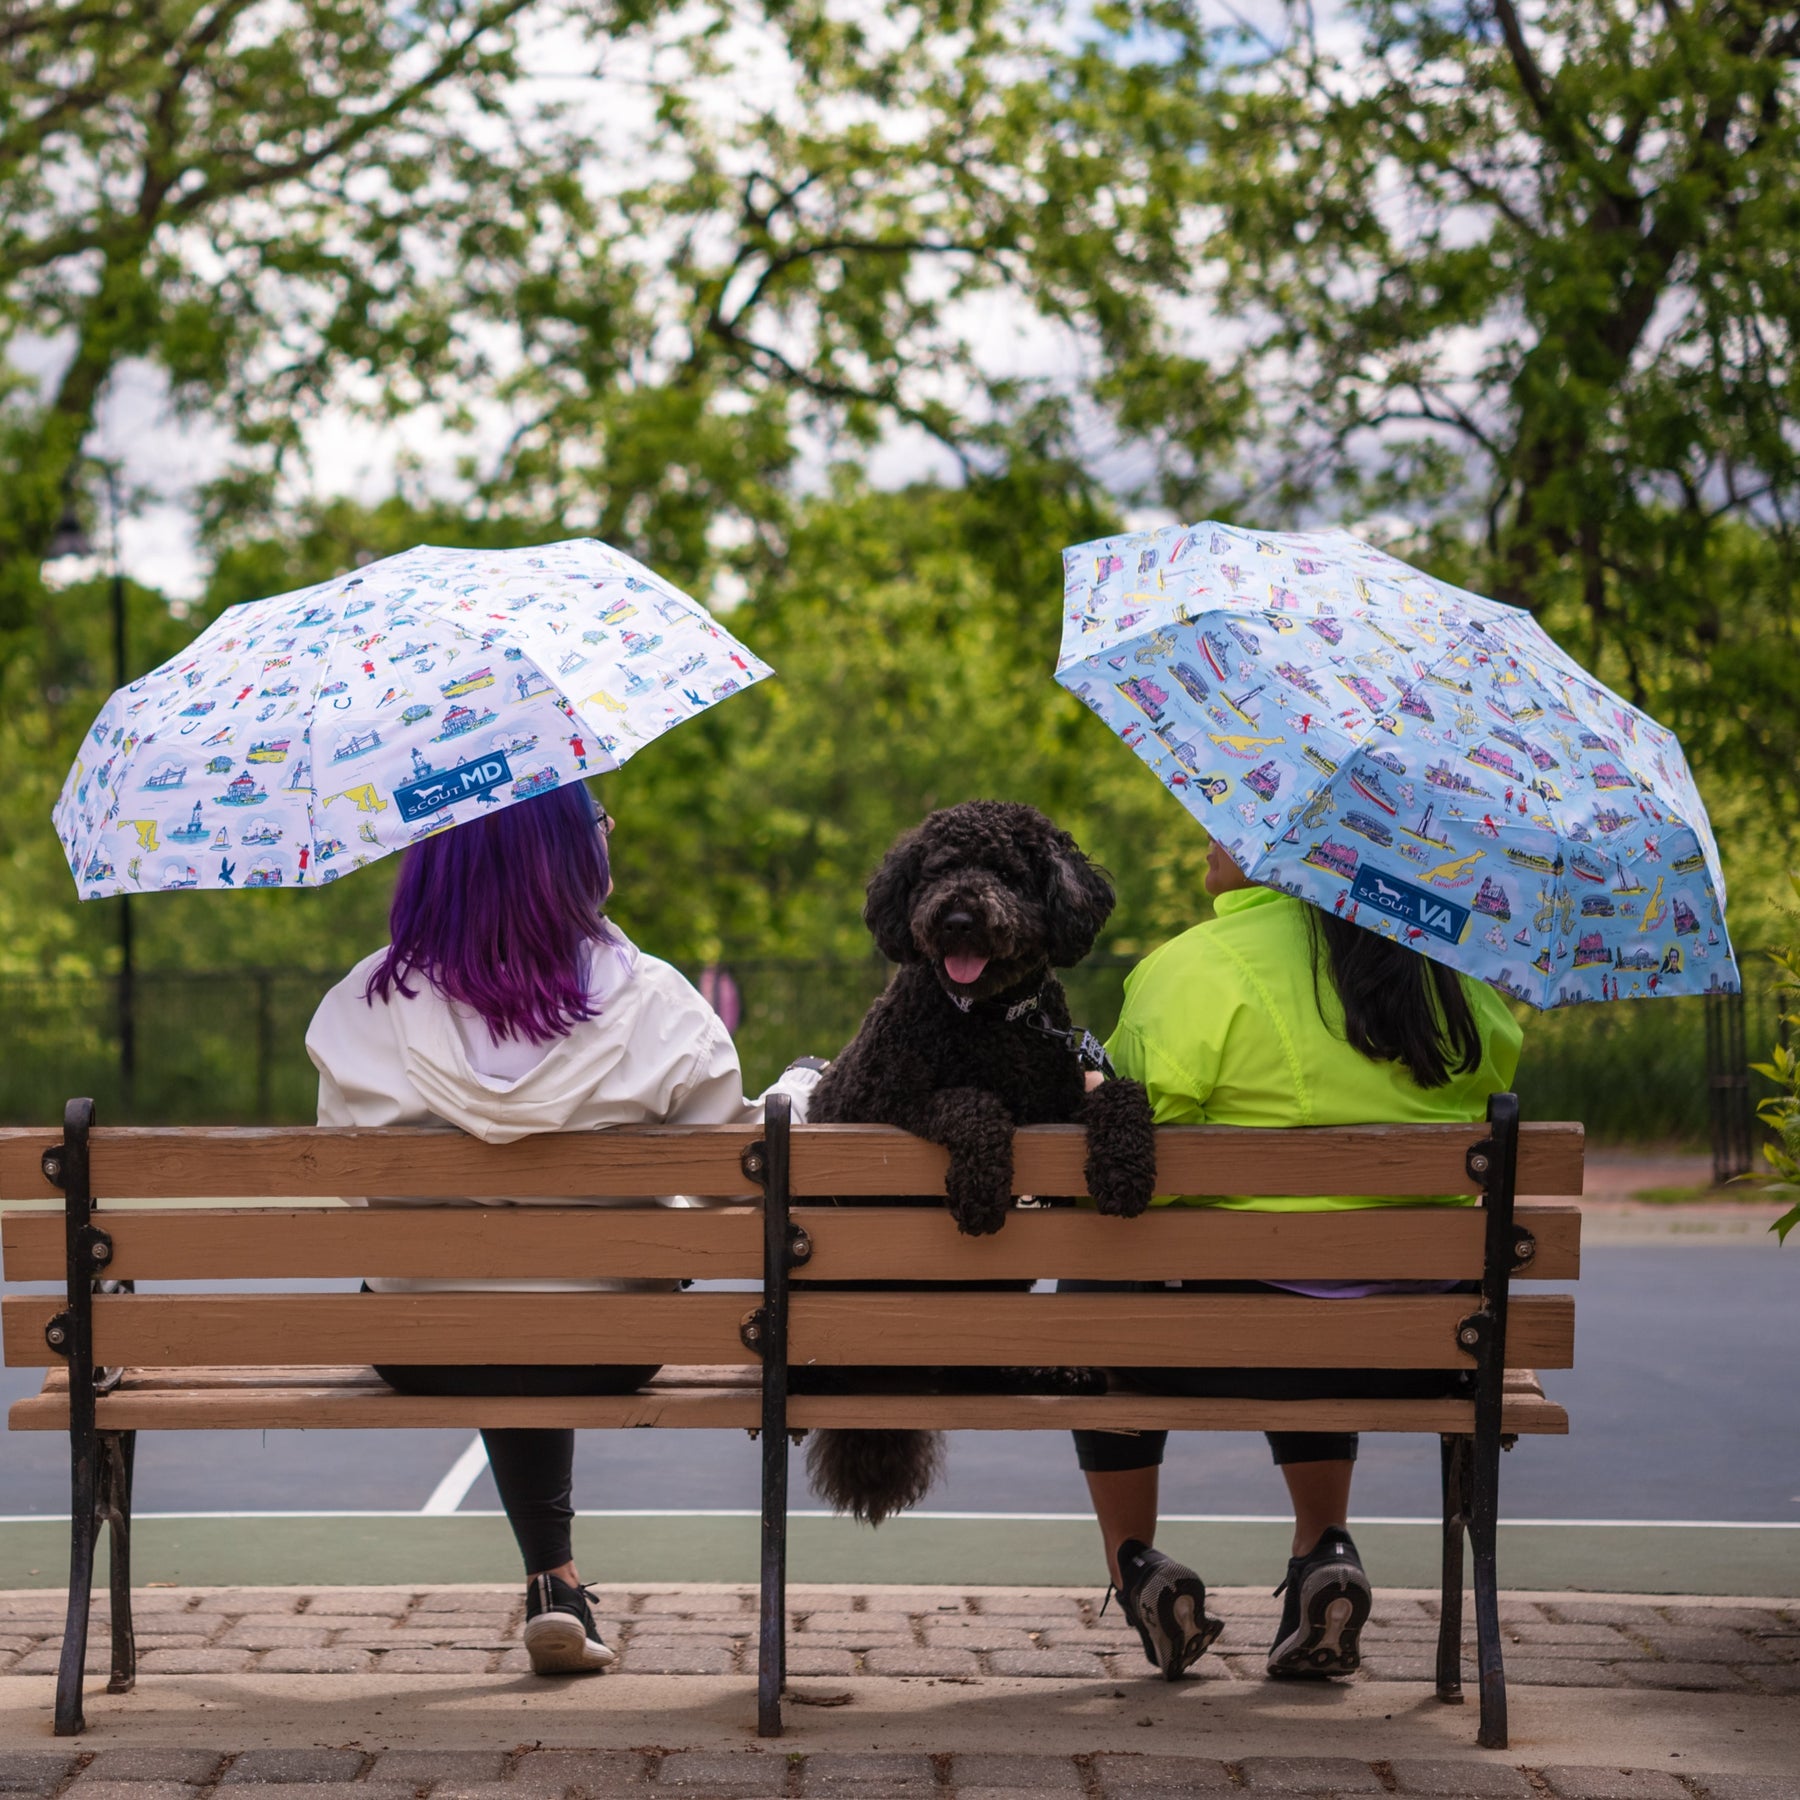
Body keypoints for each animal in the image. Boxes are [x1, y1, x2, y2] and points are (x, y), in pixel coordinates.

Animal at [802, 802, 1152, 1519]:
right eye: (938, 870)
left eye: (1008, 874)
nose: (958, 917)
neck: (996, 1018)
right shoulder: (881, 1101)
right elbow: (973, 1102)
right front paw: (982, 1189)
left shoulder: (1062, 1102)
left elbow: (1122, 1093)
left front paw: (1124, 1169)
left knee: (971, 1355)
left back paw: (1042, 1372)